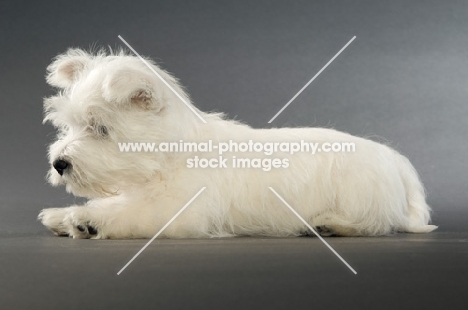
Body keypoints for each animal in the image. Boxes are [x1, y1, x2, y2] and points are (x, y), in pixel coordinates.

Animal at [38, 48, 436, 239]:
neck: (172, 154)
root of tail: (393, 158)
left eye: (100, 129)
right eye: (67, 126)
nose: (59, 163)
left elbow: (129, 212)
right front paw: (61, 215)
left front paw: (87, 219)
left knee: (377, 224)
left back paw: (329, 225)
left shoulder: (176, 210)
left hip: (361, 200)